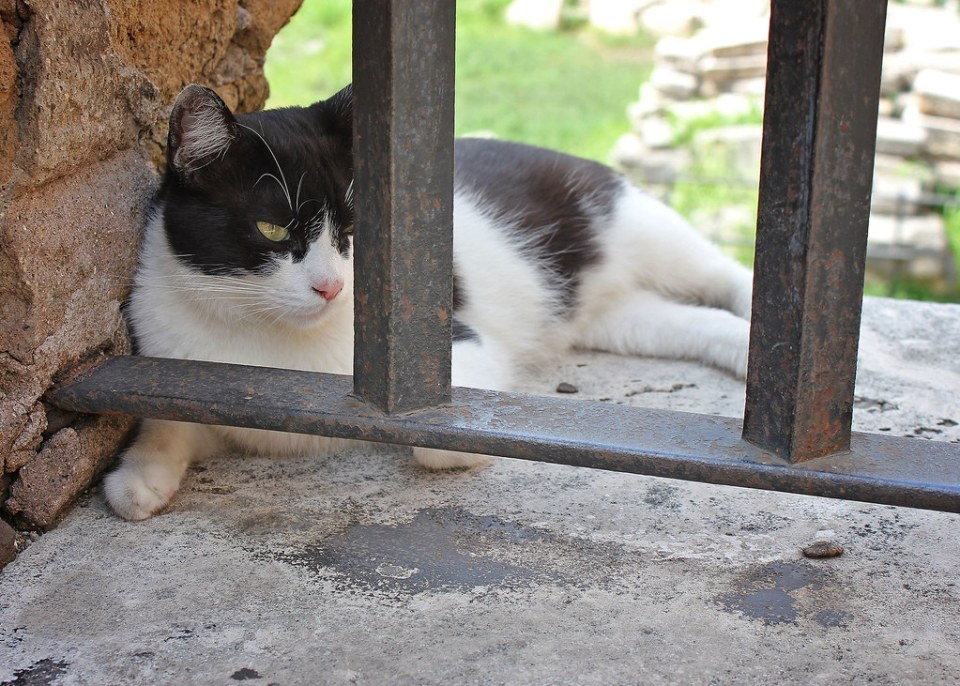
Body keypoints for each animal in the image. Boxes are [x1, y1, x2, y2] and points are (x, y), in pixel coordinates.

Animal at [101, 82, 752, 520]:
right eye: (271, 230)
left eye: (355, 227)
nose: (332, 286)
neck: (272, 340)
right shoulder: (181, 370)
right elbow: (164, 423)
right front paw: (137, 479)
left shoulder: (452, 345)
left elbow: (440, 440)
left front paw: (464, 451)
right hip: (615, 314)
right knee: (689, 321)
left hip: (640, 227)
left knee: (725, 273)